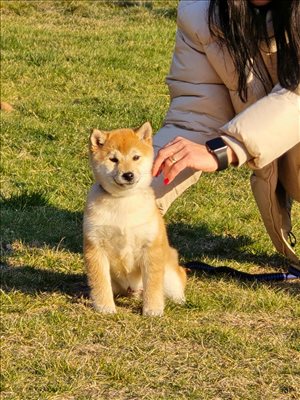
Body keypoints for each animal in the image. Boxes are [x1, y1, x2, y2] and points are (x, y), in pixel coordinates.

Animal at [83, 122, 186, 316]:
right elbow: (100, 282)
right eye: (113, 159)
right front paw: (104, 307)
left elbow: (153, 285)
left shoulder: (150, 247)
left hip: (170, 273)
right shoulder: (95, 246)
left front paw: (153, 310)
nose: (128, 174)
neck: (123, 201)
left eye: (136, 157)